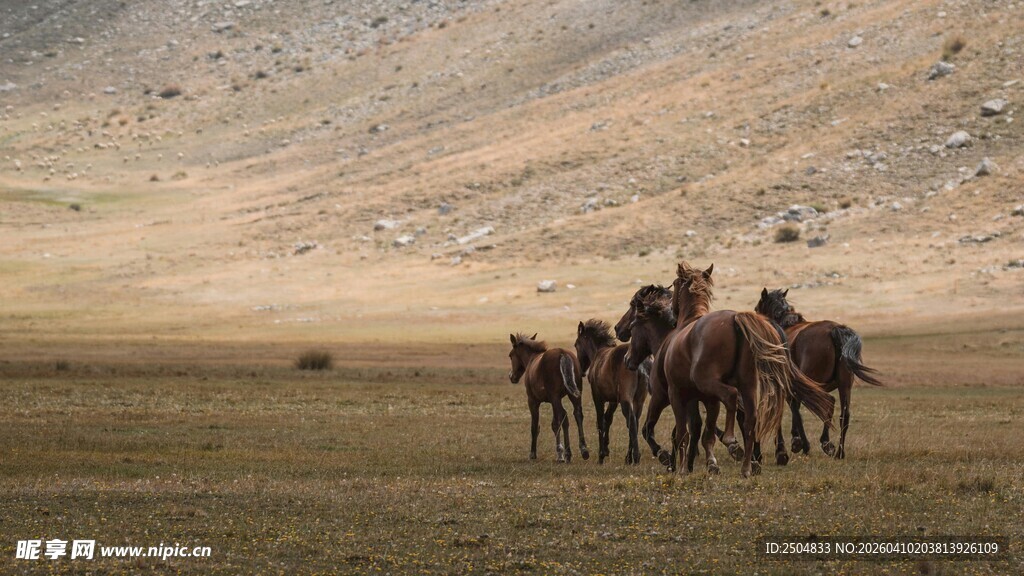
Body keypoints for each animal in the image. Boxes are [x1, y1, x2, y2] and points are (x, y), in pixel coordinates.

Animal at [508, 333, 590, 462]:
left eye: (511, 356)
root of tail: (563, 353)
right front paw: (568, 453)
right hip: (573, 394)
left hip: (555, 397)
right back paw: (583, 450)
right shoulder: (554, 400)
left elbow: (535, 427)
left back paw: (561, 454)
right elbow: (563, 421)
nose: (512, 376)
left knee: (559, 420)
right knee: (577, 415)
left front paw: (533, 454)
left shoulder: (533, 401)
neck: (532, 359)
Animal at [574, 319, 647, 464]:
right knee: (635, 421)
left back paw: (635, 457)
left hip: (626, 399)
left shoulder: (598, 397)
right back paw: (628, 457)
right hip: (639, 400)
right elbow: (608, 419)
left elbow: (600, 421)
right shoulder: (614, 400)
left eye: (575, 345)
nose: (581, 370)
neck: (598, 354)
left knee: (631, 421)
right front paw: (606, 448)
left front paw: (601, 455)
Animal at [626, 262, 835, 477]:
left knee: (731, 397)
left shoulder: (671, 395)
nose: (628, 359)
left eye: (634, 325)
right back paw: (748, 466)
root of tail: (736, 318)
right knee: (752, 419)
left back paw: (732, 440)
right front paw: (707, 463)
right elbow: (703, 433)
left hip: (710, 384)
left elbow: (674, 432)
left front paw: (677, 464)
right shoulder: (707, 399)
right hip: (748, 386)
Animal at [756, 288, 883, 459]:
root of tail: (834, 330)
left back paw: (821, 443)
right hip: (844, 386)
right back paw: (838, 452)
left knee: (826, 403)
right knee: (843, 415)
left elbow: (793, 410)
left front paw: (797, 443)